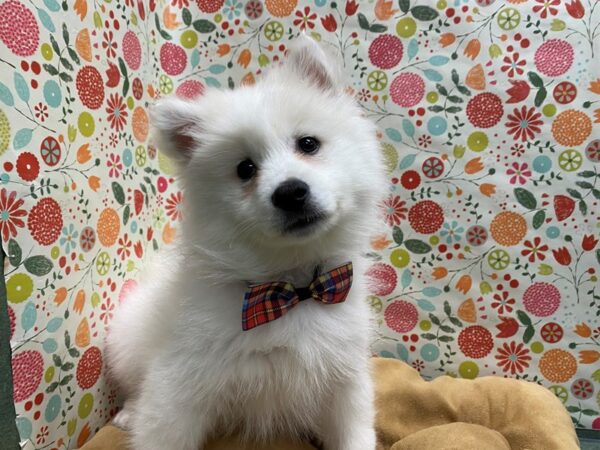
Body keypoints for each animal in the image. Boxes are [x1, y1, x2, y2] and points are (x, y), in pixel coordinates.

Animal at [105, 36, 386, 450]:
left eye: (308, 144)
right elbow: (161, 427)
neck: (292, 287)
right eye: (245, 169)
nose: (290, 192)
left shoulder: (343, 375)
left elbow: (353, 430)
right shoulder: (179, 381)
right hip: (126, 340)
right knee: (133, 386)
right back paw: (127, 412)